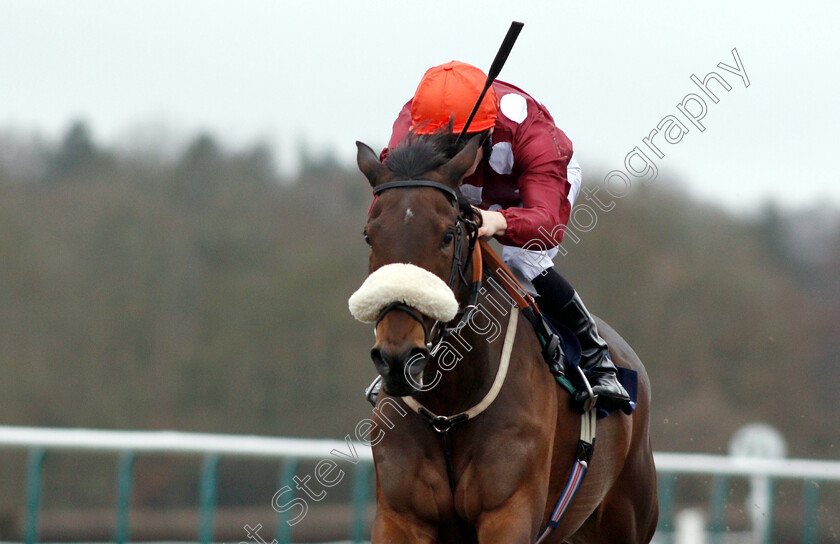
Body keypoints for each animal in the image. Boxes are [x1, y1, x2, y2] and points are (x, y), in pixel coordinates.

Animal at [348, 133, 656, 544]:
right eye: (370, 235)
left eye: (448, 235)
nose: (398, 359)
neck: (449, 406)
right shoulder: (399, 517)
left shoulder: (509, 513)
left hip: (626, 518)